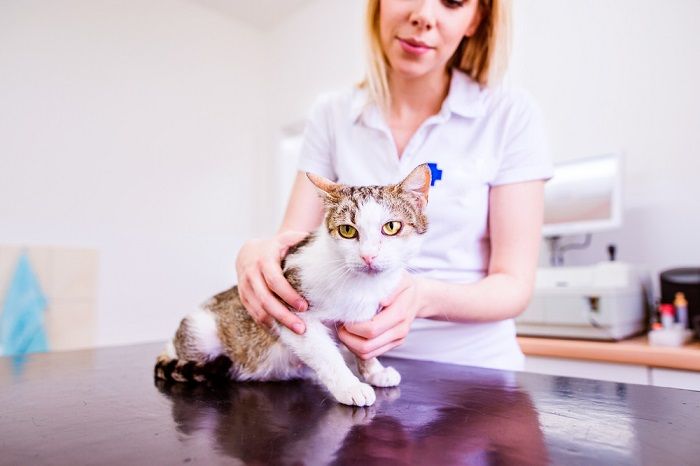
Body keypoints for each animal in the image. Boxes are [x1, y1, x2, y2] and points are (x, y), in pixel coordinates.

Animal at [155, 163, 430, 404]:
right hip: (201, 331)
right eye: (347, 231)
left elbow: (365, 347)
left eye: (391, 227)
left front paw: (374, 370)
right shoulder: (293, 311)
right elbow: (325, 354)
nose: (368, 256)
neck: (360, 285)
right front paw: (349, 386)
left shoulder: (365, 317)